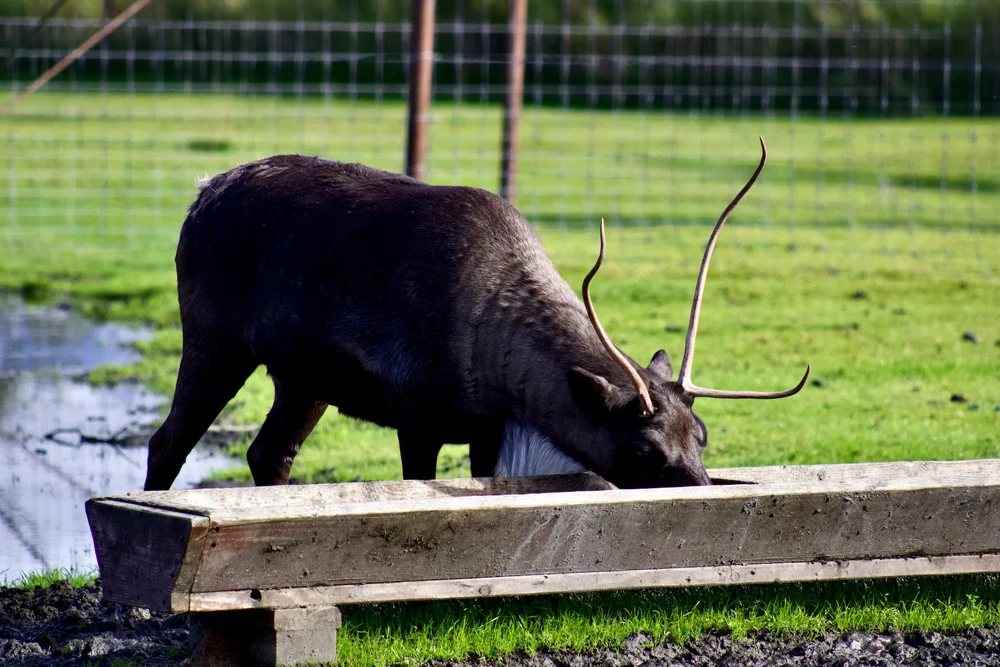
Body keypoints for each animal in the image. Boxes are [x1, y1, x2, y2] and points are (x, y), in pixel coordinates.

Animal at [144, 138, 809, 492]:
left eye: (702, 435)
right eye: (645, 451)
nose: (704, 489)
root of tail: (201, 193)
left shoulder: (486, 427)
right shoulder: (414, 415)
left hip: (304, 378)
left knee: (269, 453)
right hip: (214, 338)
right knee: (167, 439)